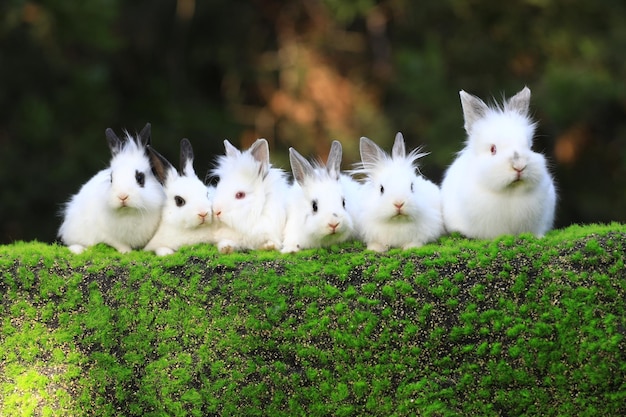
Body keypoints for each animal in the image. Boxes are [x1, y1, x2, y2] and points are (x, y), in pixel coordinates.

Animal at [57, 122, 166, 254]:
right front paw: (126, 252)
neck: (129, 213)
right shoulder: (106, 234)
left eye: (140, 178)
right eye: (111, 178)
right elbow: (119, 244)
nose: (122, 196)